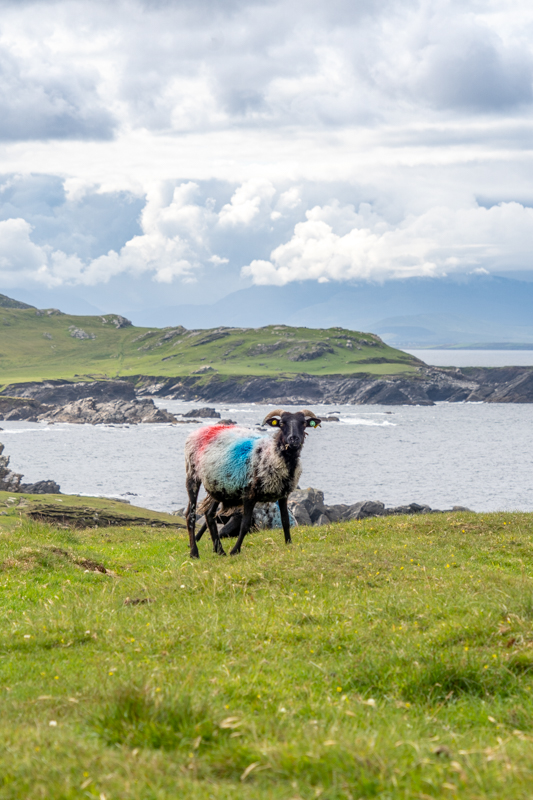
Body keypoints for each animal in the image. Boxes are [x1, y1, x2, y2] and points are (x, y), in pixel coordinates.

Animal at [185, 406, 322, 556]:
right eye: (281, 423)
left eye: (303, 423)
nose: (294, 439)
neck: (271, 454)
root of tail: (202, 430)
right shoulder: (249, 495)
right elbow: (244, 525)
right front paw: (235, 550)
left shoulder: (283, 494)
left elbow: (285, 521)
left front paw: (289, 544)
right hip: (192, 476)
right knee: (190, 515)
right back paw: (194, 553)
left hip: (218, 487)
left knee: (209, 515)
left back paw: (220, 551)